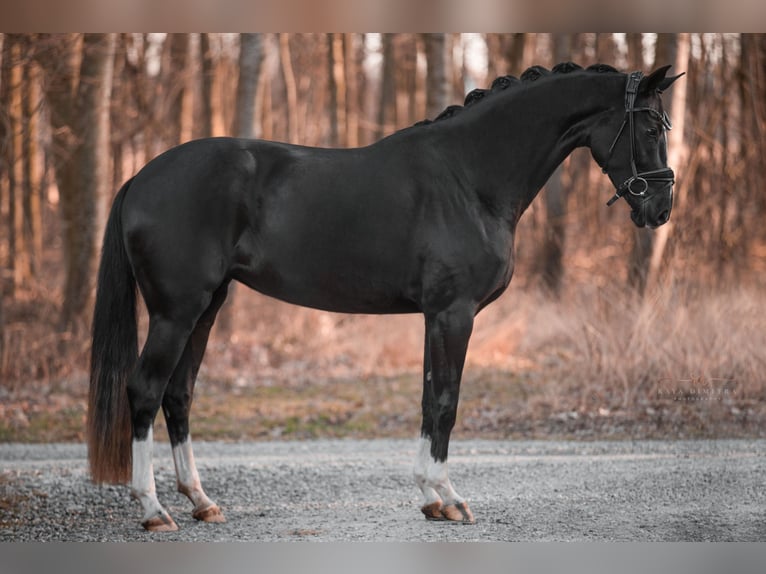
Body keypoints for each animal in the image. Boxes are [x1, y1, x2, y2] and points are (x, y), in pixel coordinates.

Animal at [88, 62, 684, 532]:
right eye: (649, 124)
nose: (660, 209)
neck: (469, 177)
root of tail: (141, 177)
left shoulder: (435, 316)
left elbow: (428, 398)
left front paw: (429, 497)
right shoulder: (453, 313)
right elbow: (445, 402)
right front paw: (449, 499)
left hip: (206, 309)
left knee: (179, 394)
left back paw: (201, 501)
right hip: (176, 312)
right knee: (145, 390)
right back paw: (153, 509)